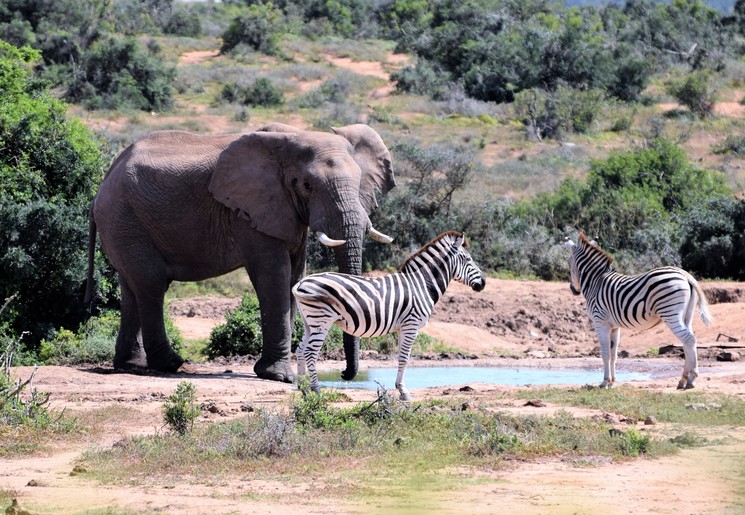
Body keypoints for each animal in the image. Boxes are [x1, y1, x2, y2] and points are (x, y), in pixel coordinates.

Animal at [84, 124, 396, 382]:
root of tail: (102, 183)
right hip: (124, 217)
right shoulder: (250, 211)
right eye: (307, 185)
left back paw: (131, 366)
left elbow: (295, 275)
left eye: (359, 182)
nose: (345, 374)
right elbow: (274, 275)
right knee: (151, 284)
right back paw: (170, 364)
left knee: (131, 287)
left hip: (122, 224)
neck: (294, 137)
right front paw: (280, 377)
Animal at [290, 232, 488, 402]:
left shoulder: (402, 327)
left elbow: (401, 356)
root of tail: (301, 283)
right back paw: (316, 391)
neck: (422, 284)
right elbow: (404, 358)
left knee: (300, 350)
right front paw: (403, 392)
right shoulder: (411, 324)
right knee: (310, 352)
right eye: (468, 259)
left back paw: (304, 390)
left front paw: (400, 389)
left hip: (309, 322)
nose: (484, 283)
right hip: (321, 319)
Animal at [568, 232, 712, 390]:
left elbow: (605, 353)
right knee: (687, 342)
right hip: (687, 315)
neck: (596, 282)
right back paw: (683, 380)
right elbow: (613, 354)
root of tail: (685, 275)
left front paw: (604, 382)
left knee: (688, 339)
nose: (573, 290)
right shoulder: (614, 327)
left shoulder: (600, 322)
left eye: (569, 263)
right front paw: (612, 382)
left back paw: (691, 380)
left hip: (670, 313)